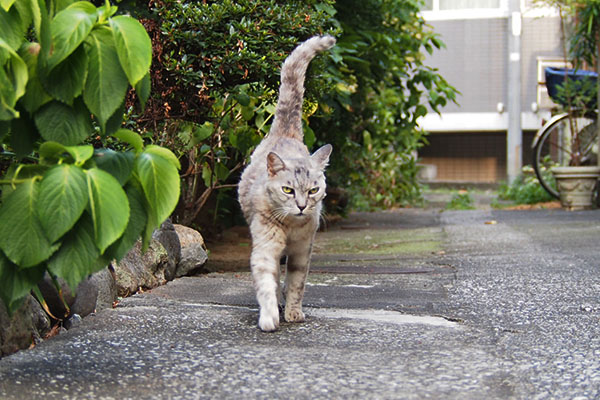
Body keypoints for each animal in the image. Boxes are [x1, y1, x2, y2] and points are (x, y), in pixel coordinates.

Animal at [237, 36, 336, 332]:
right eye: (288, 190)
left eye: (313, 190)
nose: (302, 206)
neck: (292, 227)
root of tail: (285, 133)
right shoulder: (265, 248)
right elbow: (266, 282)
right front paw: (270, 316)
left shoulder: (303, 251)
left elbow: (296, 283)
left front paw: (293, 312)